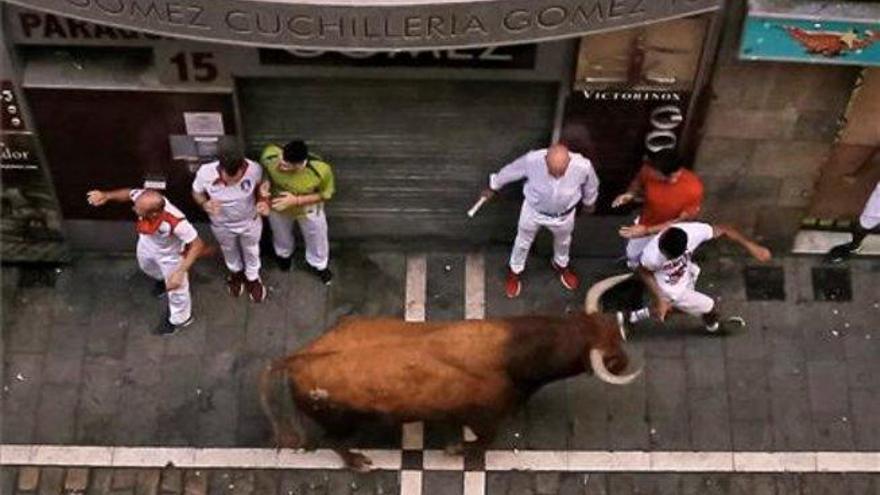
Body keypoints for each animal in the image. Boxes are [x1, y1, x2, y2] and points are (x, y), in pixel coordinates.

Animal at [262, 312, 640, 470]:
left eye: (607, 326)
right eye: (609, 356)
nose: (624, 360)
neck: (510, 354)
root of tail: (298, 357)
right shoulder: (486, 419)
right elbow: (483, 442)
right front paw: (457, 450)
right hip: (343, 422)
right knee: (333, 442)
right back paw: (359, 462)